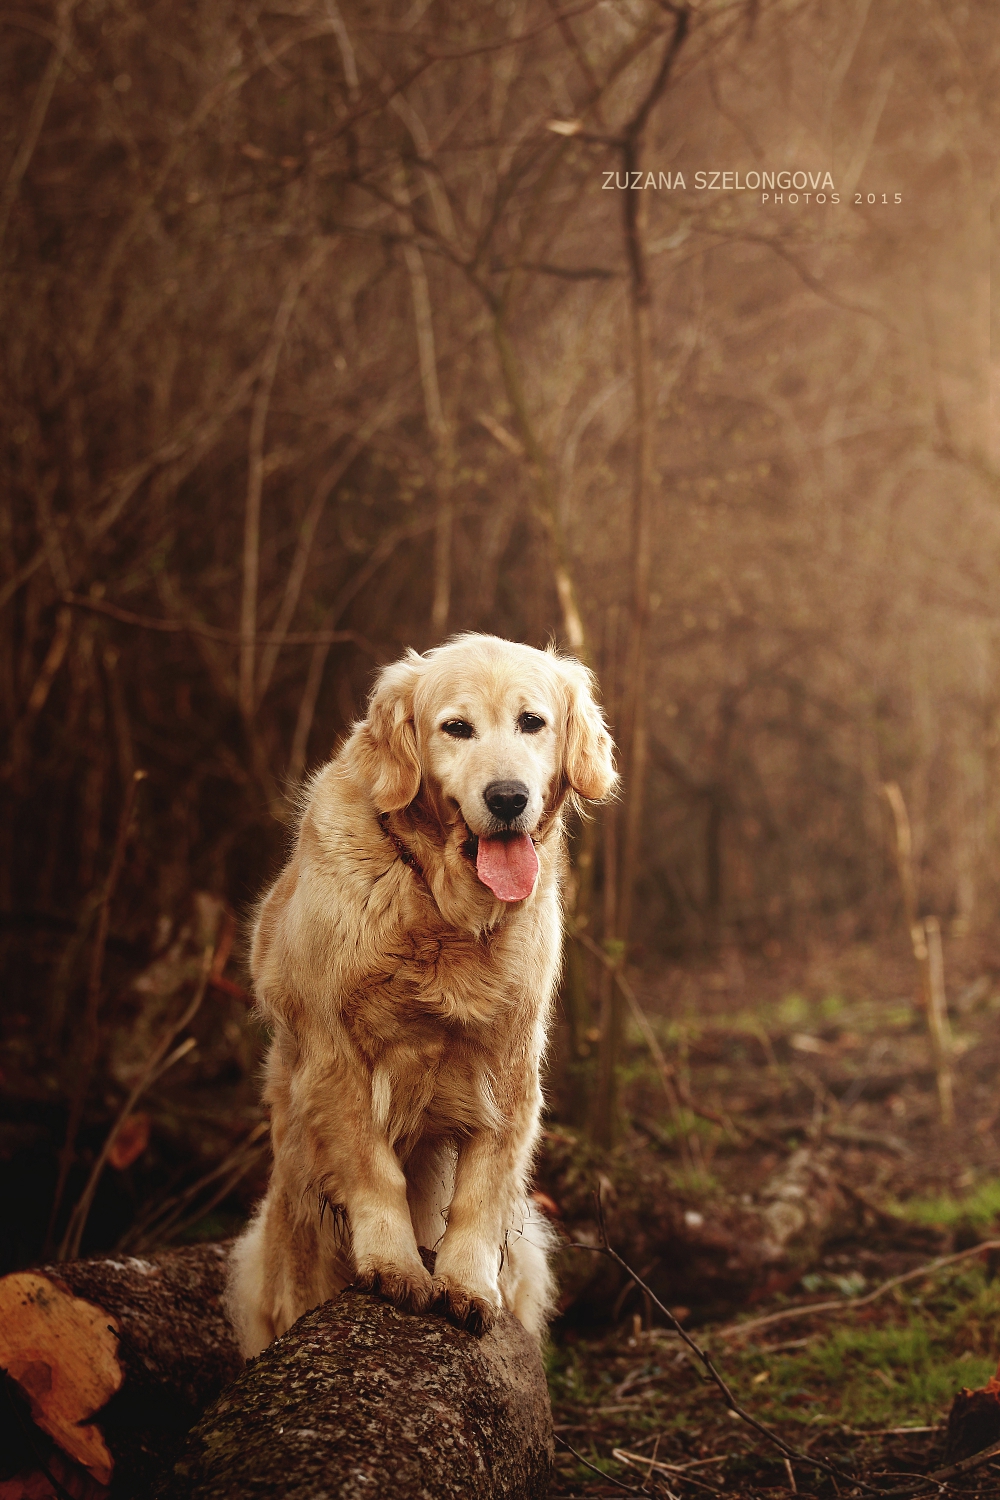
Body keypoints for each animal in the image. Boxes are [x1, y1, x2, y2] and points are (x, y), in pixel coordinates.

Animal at [226, 627, 617, 1356]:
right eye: (456, 728)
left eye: (532, 722)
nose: (507, 797)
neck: (444, 911)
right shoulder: (336, 1053)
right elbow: (374, 1168)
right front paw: (396, 1265)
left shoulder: (511, 1062)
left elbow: (482, 1189)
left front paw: (465, 1282)